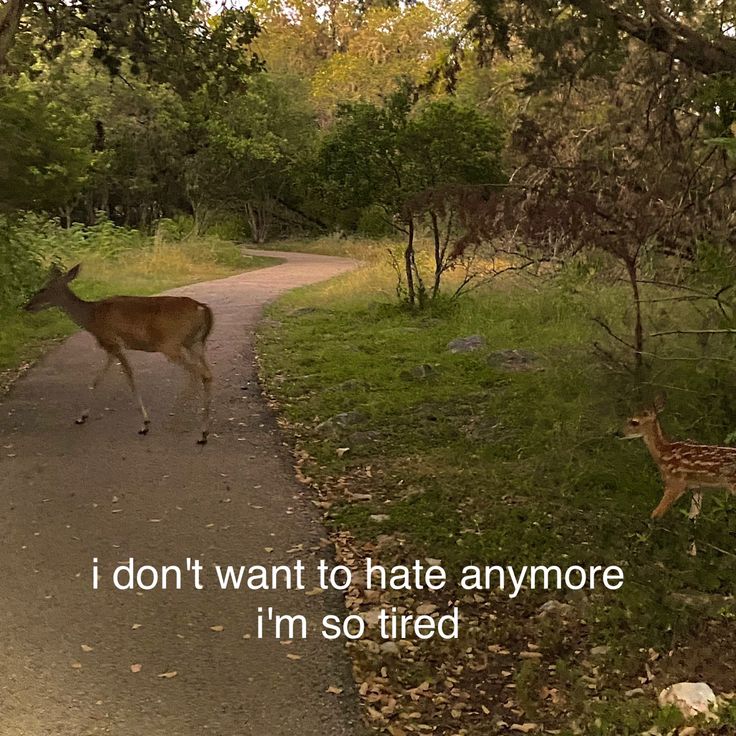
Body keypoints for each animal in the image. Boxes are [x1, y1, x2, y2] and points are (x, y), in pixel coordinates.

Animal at [23, 264, 213, 442]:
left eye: (43, 288)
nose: (27, 306)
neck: (91, 317)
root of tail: (203, 309)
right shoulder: (110, 347)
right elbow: (97, 380)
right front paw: (81, 417)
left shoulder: (113, 343)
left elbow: (129, 377)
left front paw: (144, 424)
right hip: (195, 344)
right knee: (206, 373)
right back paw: (196, 426)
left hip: (170, 344)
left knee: (200, 374)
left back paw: (197, 430)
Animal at [620, 394, 736, 548]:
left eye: (634, 422)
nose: (617, 433)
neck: (664, 454)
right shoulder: (697, 487)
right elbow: (692, 519)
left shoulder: (675, 483)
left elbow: (655, 514)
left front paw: (642, 542)